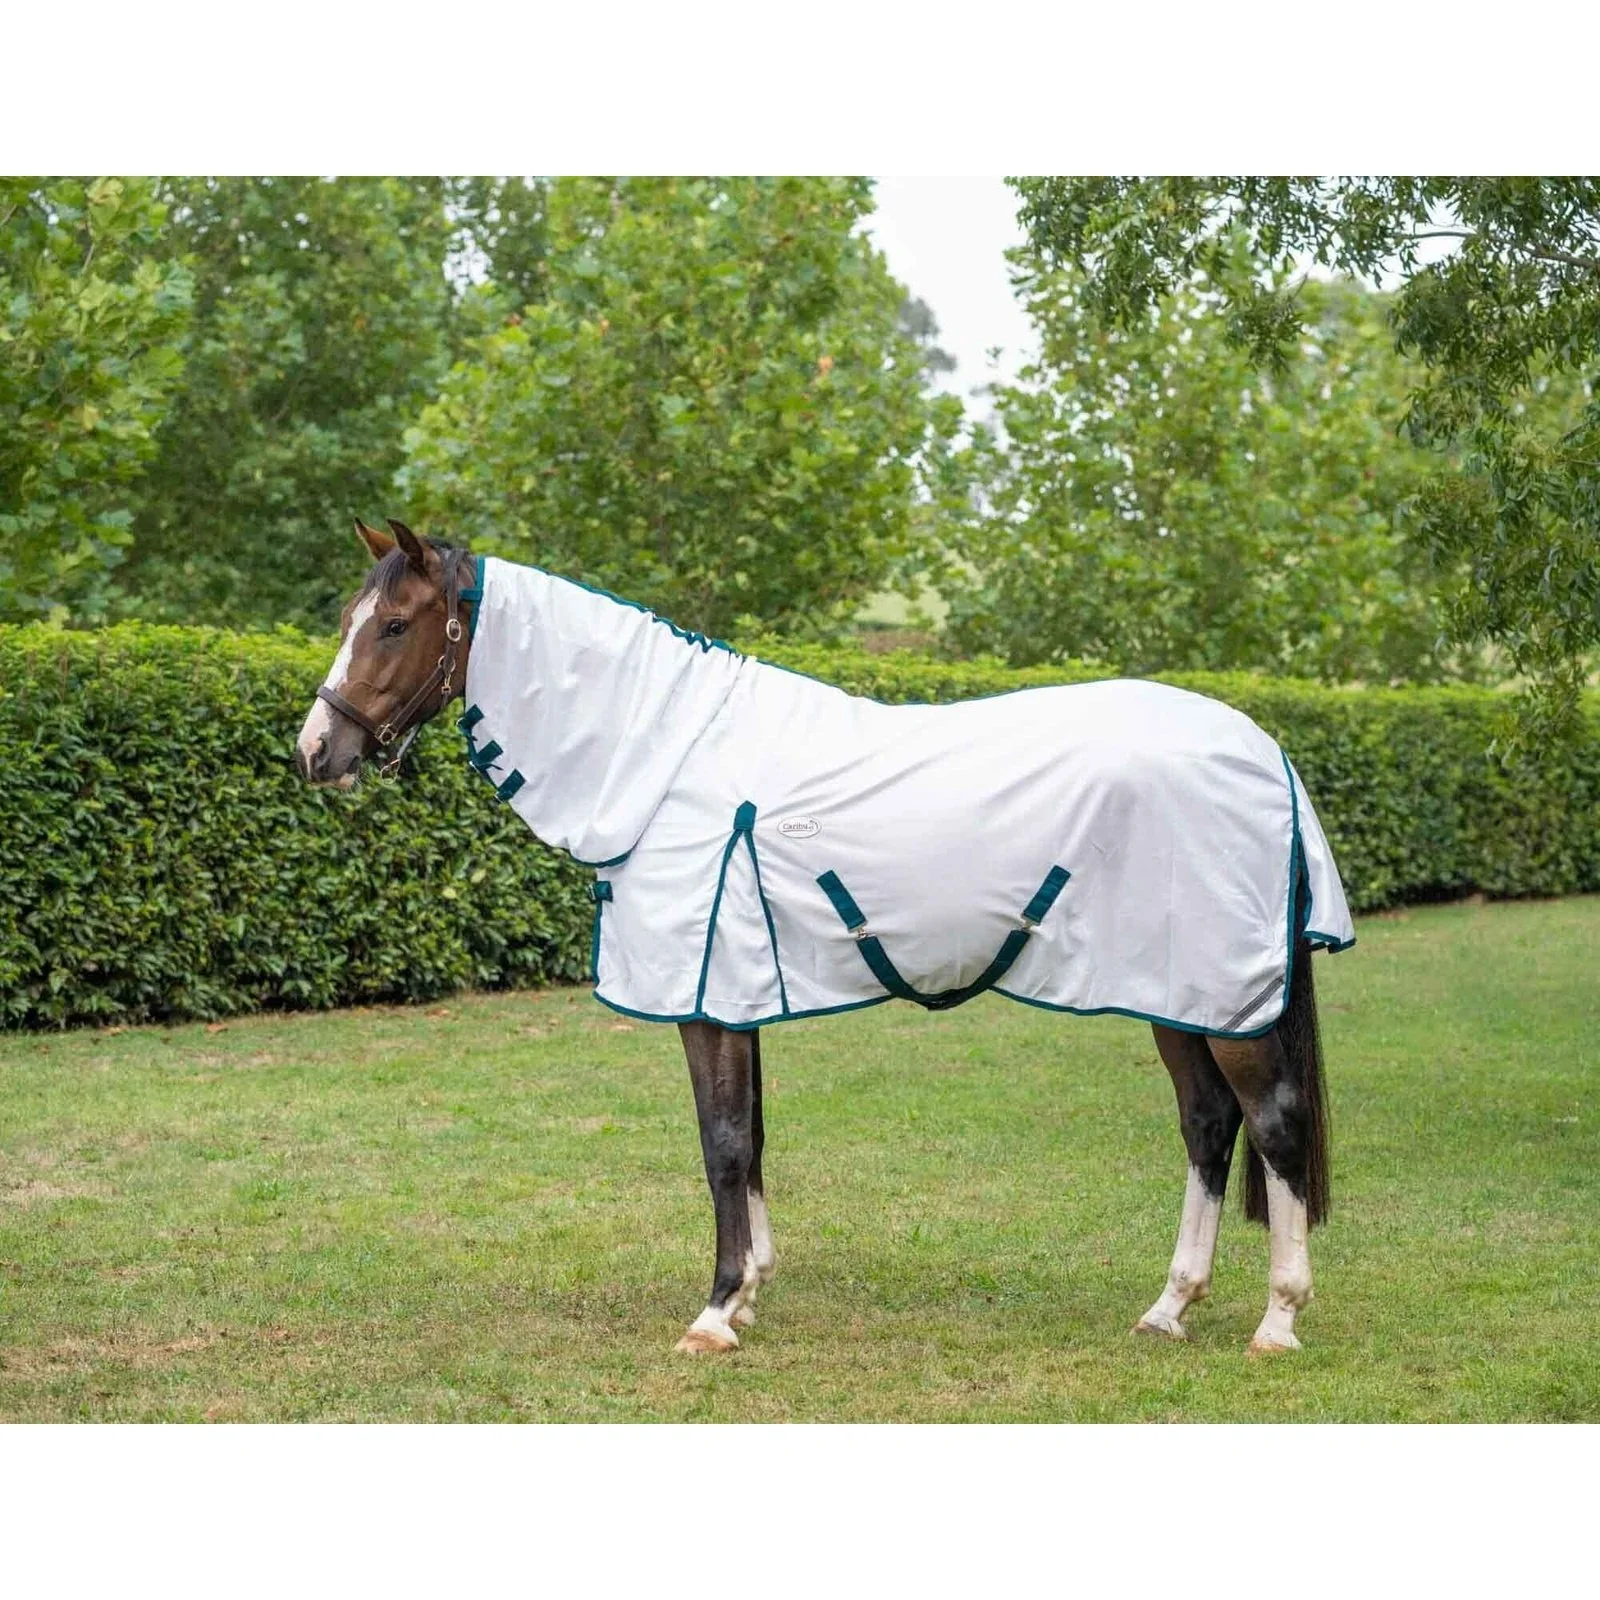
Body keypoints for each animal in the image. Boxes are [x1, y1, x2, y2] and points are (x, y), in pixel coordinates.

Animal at [296, 518, 1354, 1356]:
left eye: (394, 625)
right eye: (349, 617)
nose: (317, 752)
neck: (666, 756)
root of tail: (1263, 747)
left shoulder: (704, 1000)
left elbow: (722, 1144)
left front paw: (715, 1312)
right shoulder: (734, 993)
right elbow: (753, 1136)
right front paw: (751, 1292)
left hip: (1221, 996)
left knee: (1273, 1125)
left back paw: (1277, 1320)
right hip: (1171, 989)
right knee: (1208, 1126)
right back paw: (1169, 1308)